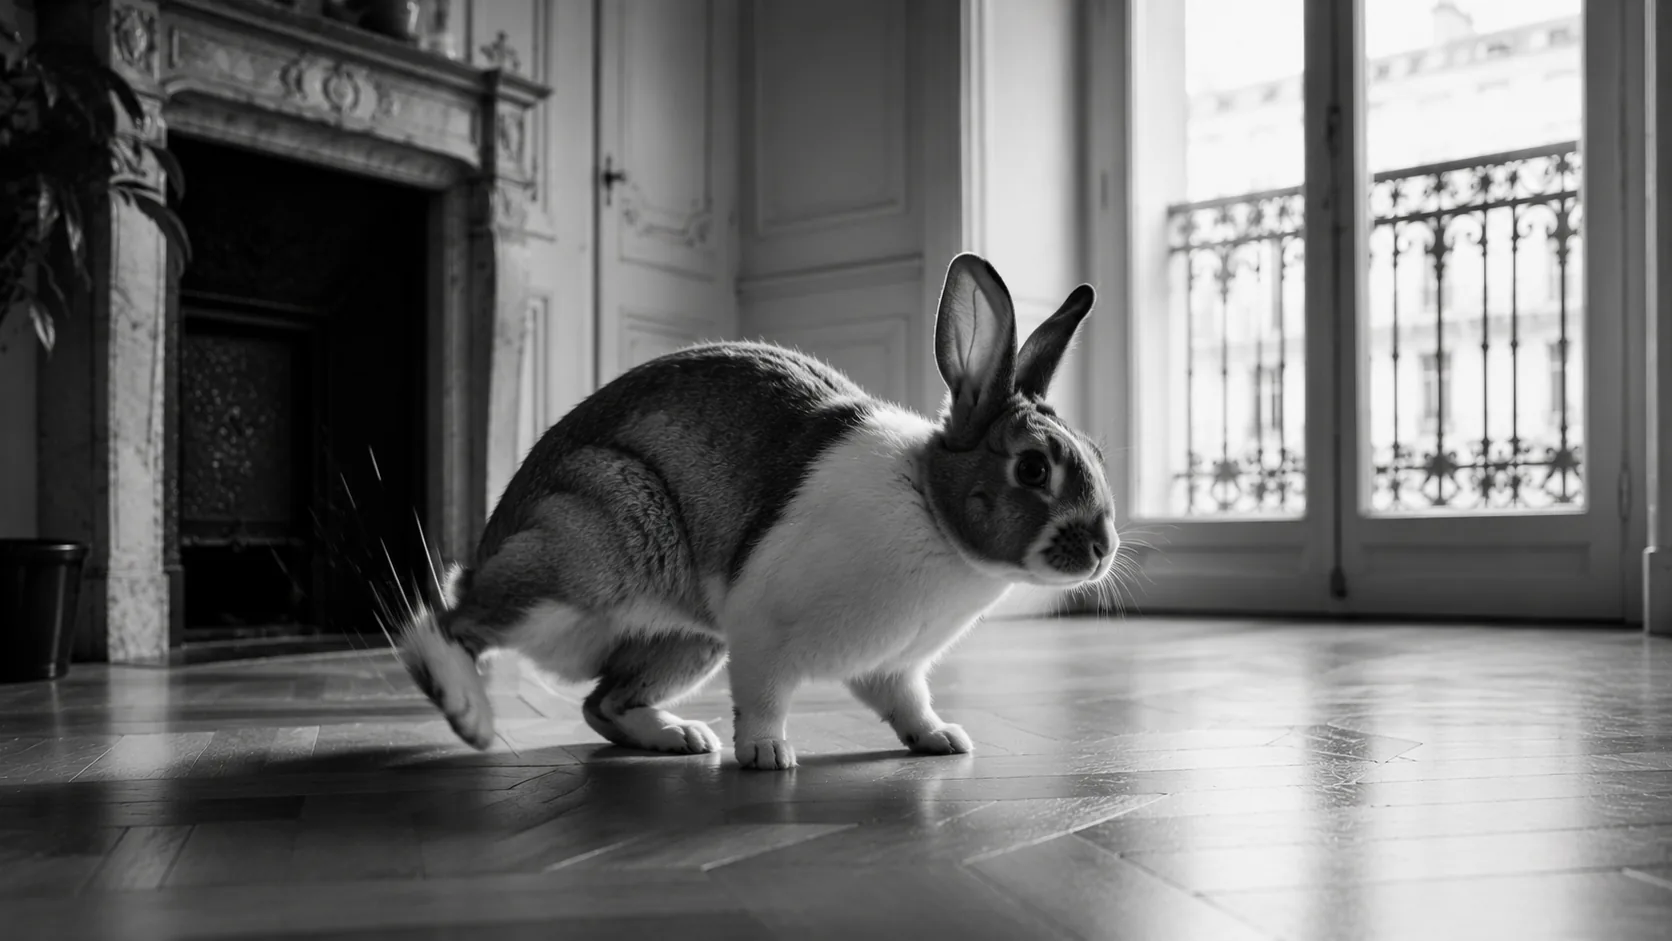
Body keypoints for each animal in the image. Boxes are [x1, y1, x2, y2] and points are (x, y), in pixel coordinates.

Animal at [396, 252, 1118, 770]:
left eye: (1098, 452)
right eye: (1032, 467)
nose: (1103, 547)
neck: (930, 507)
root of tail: (493, 545)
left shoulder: (894, 667)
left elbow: (909, 704)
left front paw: (942, 739)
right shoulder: (761, 631)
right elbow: (765, 698)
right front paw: (769, 754)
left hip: (688, 639)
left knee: (601, 703)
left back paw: (681, 737)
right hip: (593, 554)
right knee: (448, 622)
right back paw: (469, 711)